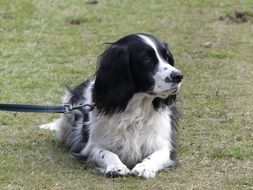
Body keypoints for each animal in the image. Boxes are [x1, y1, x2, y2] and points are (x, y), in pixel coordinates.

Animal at [42, 33, 184, 178]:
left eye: (166, 57)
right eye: (147, 59)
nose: (178, 76)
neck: (135, 108)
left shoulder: (164, 145)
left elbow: (157, 155)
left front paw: (145, 167)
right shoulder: (90, 146)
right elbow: (107, 153)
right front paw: (116, 167)